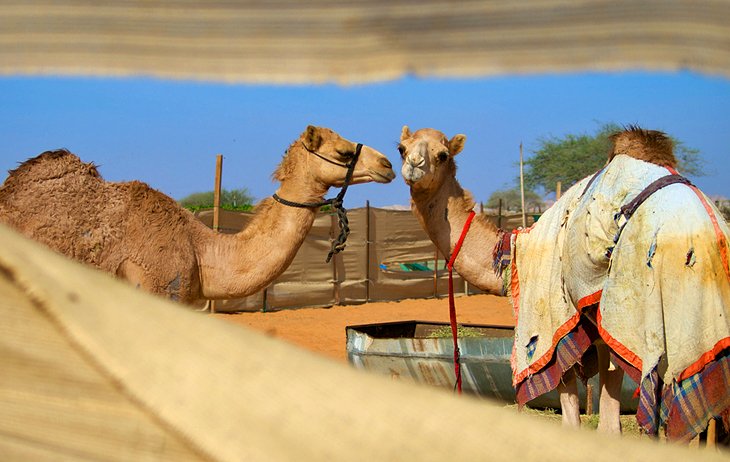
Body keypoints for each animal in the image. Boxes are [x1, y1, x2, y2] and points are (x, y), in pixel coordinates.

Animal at [398, 125, 728, 440]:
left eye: (442, 154)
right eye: (401, 147)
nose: (413, 165)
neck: (513, 254)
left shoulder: (561, 328)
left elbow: (587, 420)